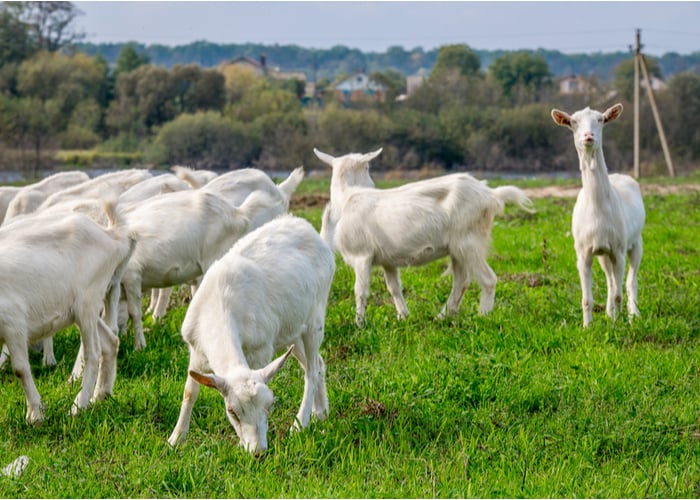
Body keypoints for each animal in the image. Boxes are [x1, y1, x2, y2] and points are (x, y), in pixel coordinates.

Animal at [0, 199, 134, 422]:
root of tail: (112, 238)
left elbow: (20, 369)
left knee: (93, 353)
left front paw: (36, 415)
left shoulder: (13, 322)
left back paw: (78, 407)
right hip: (82, 309)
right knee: (111, 342)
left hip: (88, 302)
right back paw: (101, 395)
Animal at [167, 215, 336, 458]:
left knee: (312, 370)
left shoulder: (260, 350)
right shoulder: (196, 350)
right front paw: (176, 439)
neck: (220, 308)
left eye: (270, 405)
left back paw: (299, 424)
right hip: (292, 329)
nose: (259, 452)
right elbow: (190, 392)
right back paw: (321, 413)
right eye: (232, 411)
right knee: (318, 363)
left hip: (315, 318)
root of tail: (308, 228)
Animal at [314, 146, 532, 326]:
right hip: (458, 248)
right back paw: (443, 316)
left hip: (468, 241)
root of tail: (491, 195)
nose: (373, 184)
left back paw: (482, 316)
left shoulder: (362, 255)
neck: (348, 198)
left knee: (488, 279)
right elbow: (394, 287)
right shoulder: (387, 260)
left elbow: (360, 290)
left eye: (367, 166)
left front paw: (360, 324)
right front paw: (403, 316)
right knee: (461, 281)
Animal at [552, 103, 644, 326]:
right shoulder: (583, 251)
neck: (598, 209)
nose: (588, 136)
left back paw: (633, 315)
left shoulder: (618, 249)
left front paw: (618, 325)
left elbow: (619, 293)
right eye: (573, 122)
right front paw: (587, 326)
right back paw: (611, 314)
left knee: (630, 280)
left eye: (601, 119)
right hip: (603, 253)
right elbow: (587, 298)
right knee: (611, 281)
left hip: (636, 242)